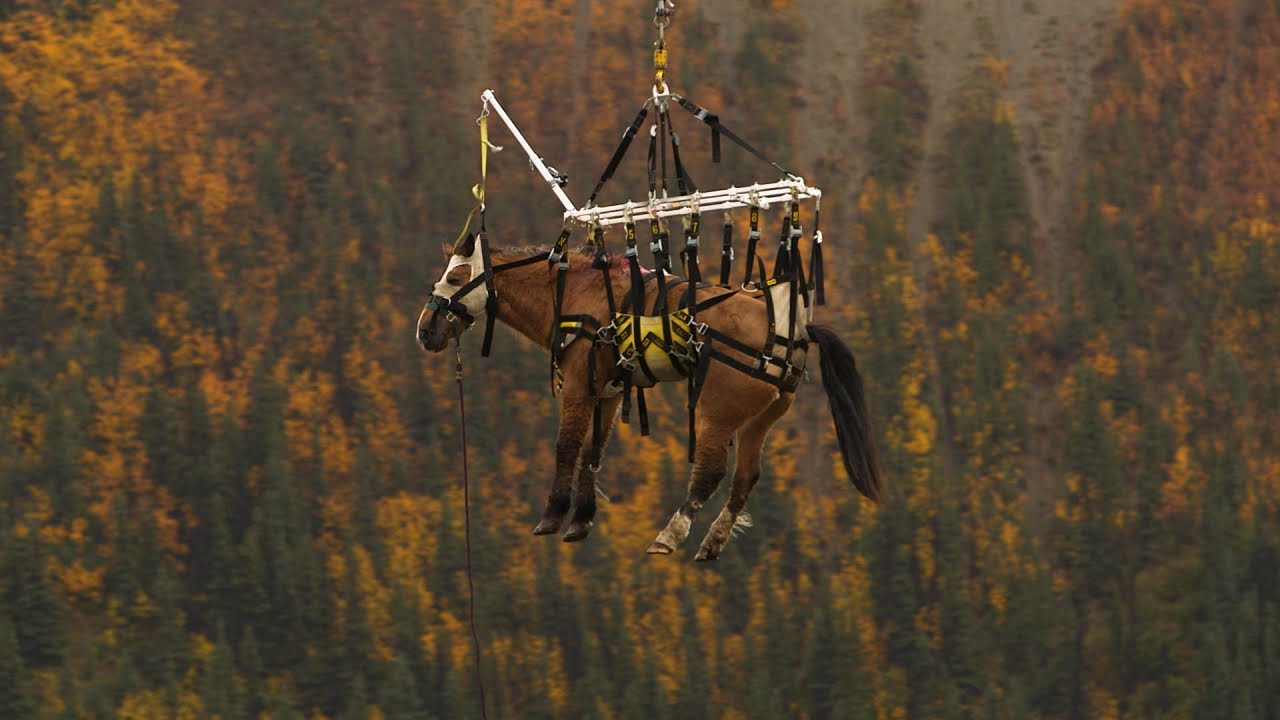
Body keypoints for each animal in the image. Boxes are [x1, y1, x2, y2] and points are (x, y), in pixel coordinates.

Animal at [419, 233, 880, 558]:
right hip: (762, 415)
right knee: (746, 476)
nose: (426, 329)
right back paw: (712, 542)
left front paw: (553, 515)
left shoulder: (579, 385)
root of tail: (792, 332)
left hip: (719, 406)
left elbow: (567, 446)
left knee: (711, 471)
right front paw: (581, 520)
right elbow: (592, 452)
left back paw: (671, 534)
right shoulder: (606, 392)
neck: (573, 294)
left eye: (456, 277)